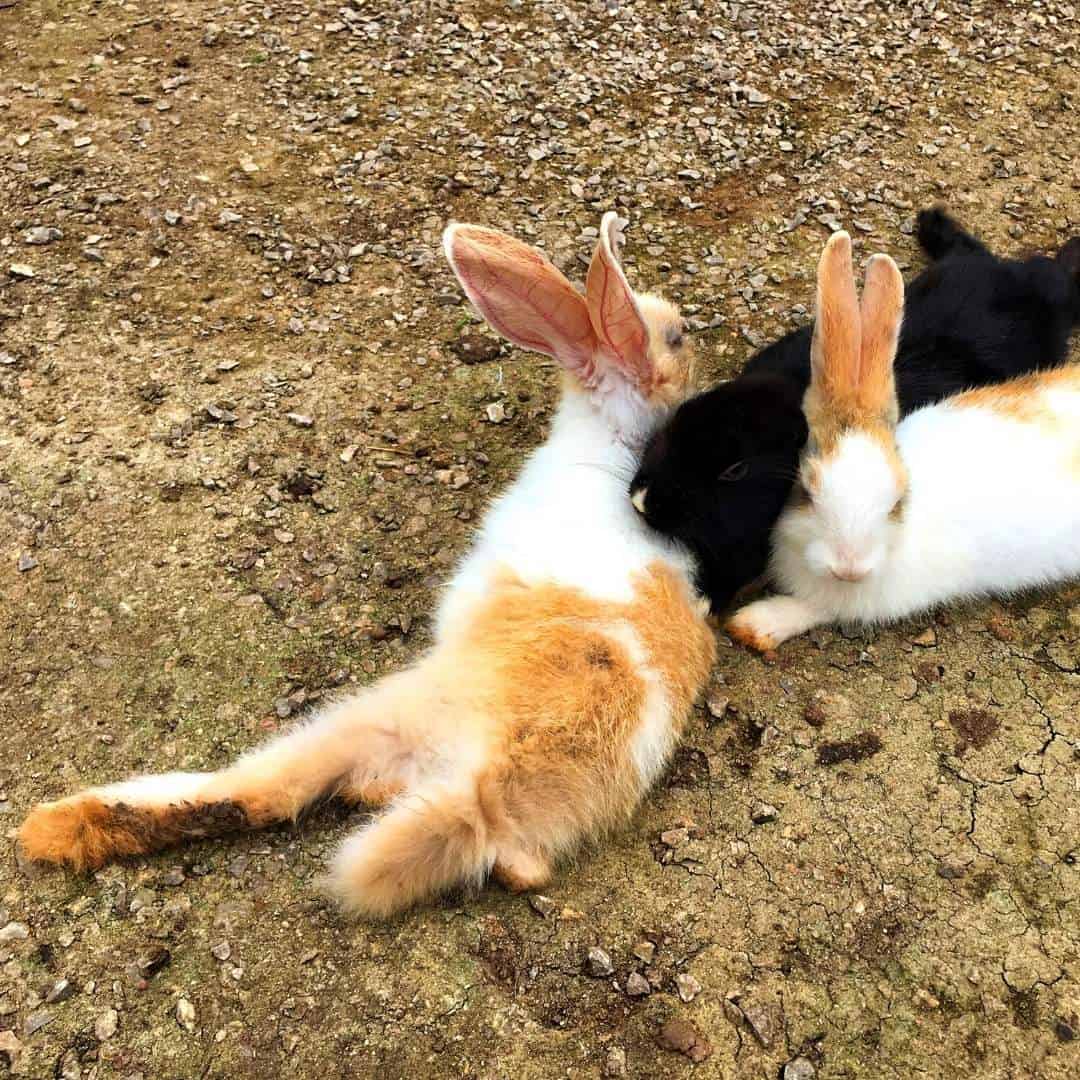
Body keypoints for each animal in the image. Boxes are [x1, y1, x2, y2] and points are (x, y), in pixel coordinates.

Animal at [18, 213, 716, 918]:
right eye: (678, 335)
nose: (697, 345)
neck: (610, 439)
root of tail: (483, 795)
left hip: (374, 714)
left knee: (264, 788)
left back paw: (50, 824)